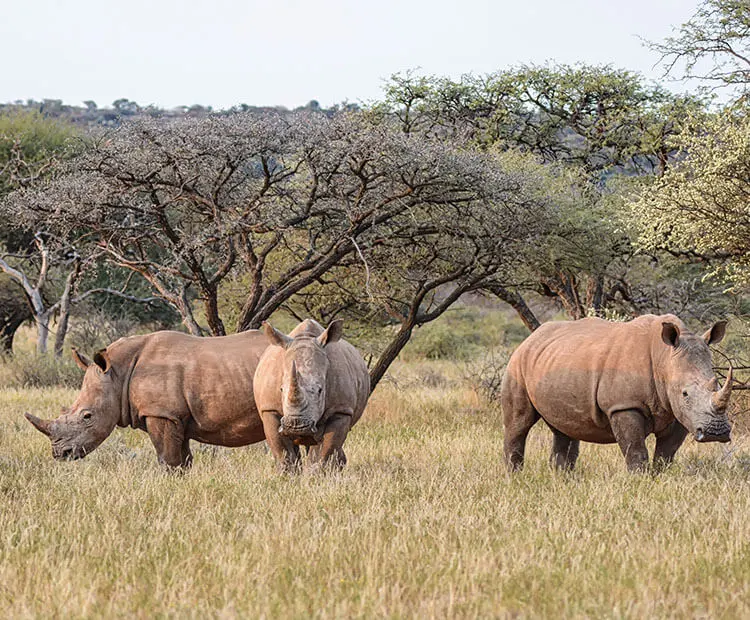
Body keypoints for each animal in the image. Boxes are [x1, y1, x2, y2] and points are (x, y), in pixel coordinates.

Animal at [25, 330, 269, 467]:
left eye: (87, 416)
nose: (60, 454)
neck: (118, 373)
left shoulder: (161, 413)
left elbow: (168, 460)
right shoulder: (176, 416)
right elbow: (184, 460)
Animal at [254, 319, 370, 472]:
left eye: (320, 390)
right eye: (281, 389)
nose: (296, 426)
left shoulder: (341, 410)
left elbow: (324, 450)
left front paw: (315, 475)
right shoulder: (269, 408)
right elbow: (282, 451)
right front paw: (287, 475)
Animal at [501, 314, 733, 472]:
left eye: (717, 385)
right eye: (685, 393)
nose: (716, 432)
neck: (664, 358)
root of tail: (531, 337)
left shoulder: (677, 412)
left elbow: (666, 454)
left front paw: (658, 478)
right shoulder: (624, 405)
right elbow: (636, 451)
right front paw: (640, 482)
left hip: (556, 361)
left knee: (564, 428)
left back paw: (562, 478)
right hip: (517, 362)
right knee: (519, 423)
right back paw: (514, 477)